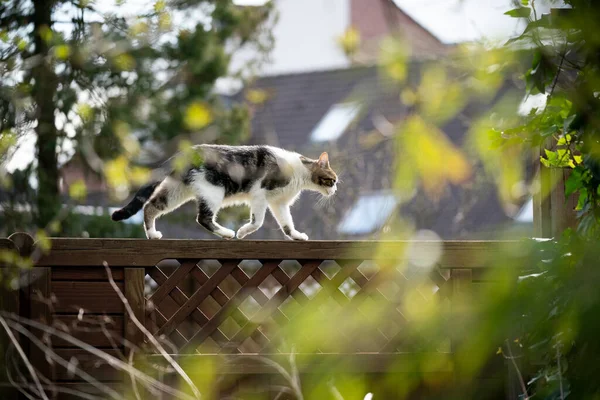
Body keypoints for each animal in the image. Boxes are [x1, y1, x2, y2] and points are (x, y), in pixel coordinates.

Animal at [111, 145, 338, 241]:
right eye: (333, 180)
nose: (335, 190)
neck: (299, 172)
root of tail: (185, 152)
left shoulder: (278, 203)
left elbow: (287, 225)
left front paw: (297, 236)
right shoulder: (260, 194)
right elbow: (257, 221)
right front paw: (242, 232)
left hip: (176, 192)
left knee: (151, 206)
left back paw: (152, 234)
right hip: (213, 191)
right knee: (203, 218)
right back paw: (227, 233)